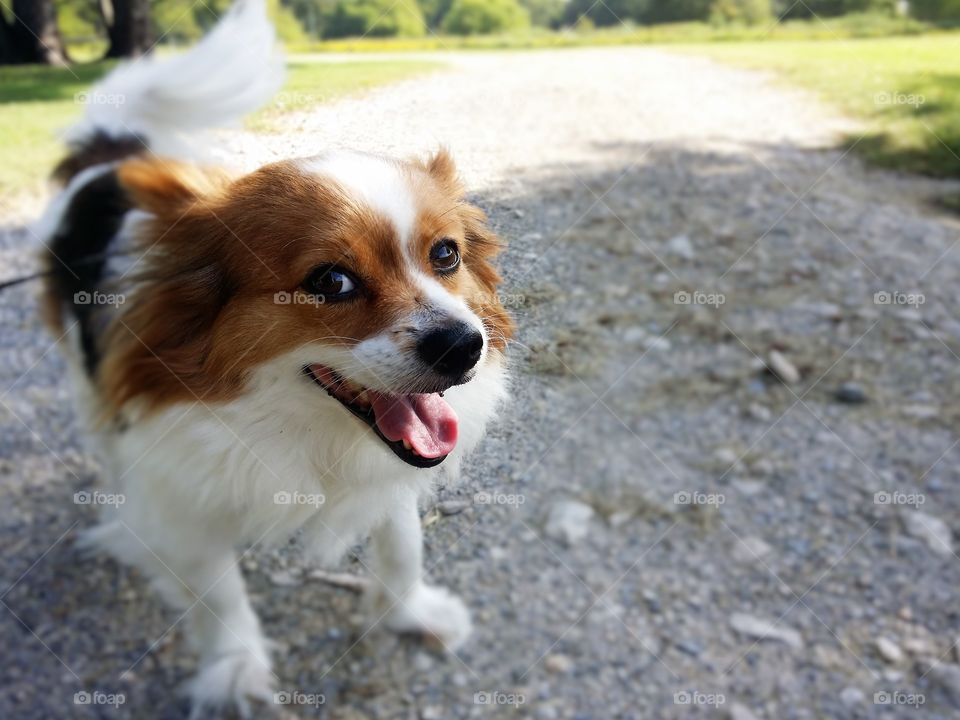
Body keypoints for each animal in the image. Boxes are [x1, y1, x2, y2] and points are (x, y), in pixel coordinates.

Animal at [34, 2, 512, 716]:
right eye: (332, 282)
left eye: (446, 255)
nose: (462, 344)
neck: (294, 421)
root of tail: (113, 156)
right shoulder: (184, 493)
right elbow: (219, 597)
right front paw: (236, 671)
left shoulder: (390, 468)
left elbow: (403, 543)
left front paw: (410, 613)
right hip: (86, 380)